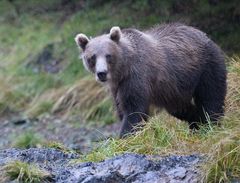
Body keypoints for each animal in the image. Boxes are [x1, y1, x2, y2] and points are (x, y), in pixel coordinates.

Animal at [75, 23, 227, 137]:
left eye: (108, 55)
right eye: (92, 57)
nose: (102, 73)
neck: (123, 69)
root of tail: (203, 34)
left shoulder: (137, 76)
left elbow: (133, 111)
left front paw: (125, 138)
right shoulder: (117, 87)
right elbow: (121, 108)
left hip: (206, 66)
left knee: (211, 96)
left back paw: (211, 124)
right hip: (173, 89)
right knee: (180, 108)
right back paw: (196, 123)